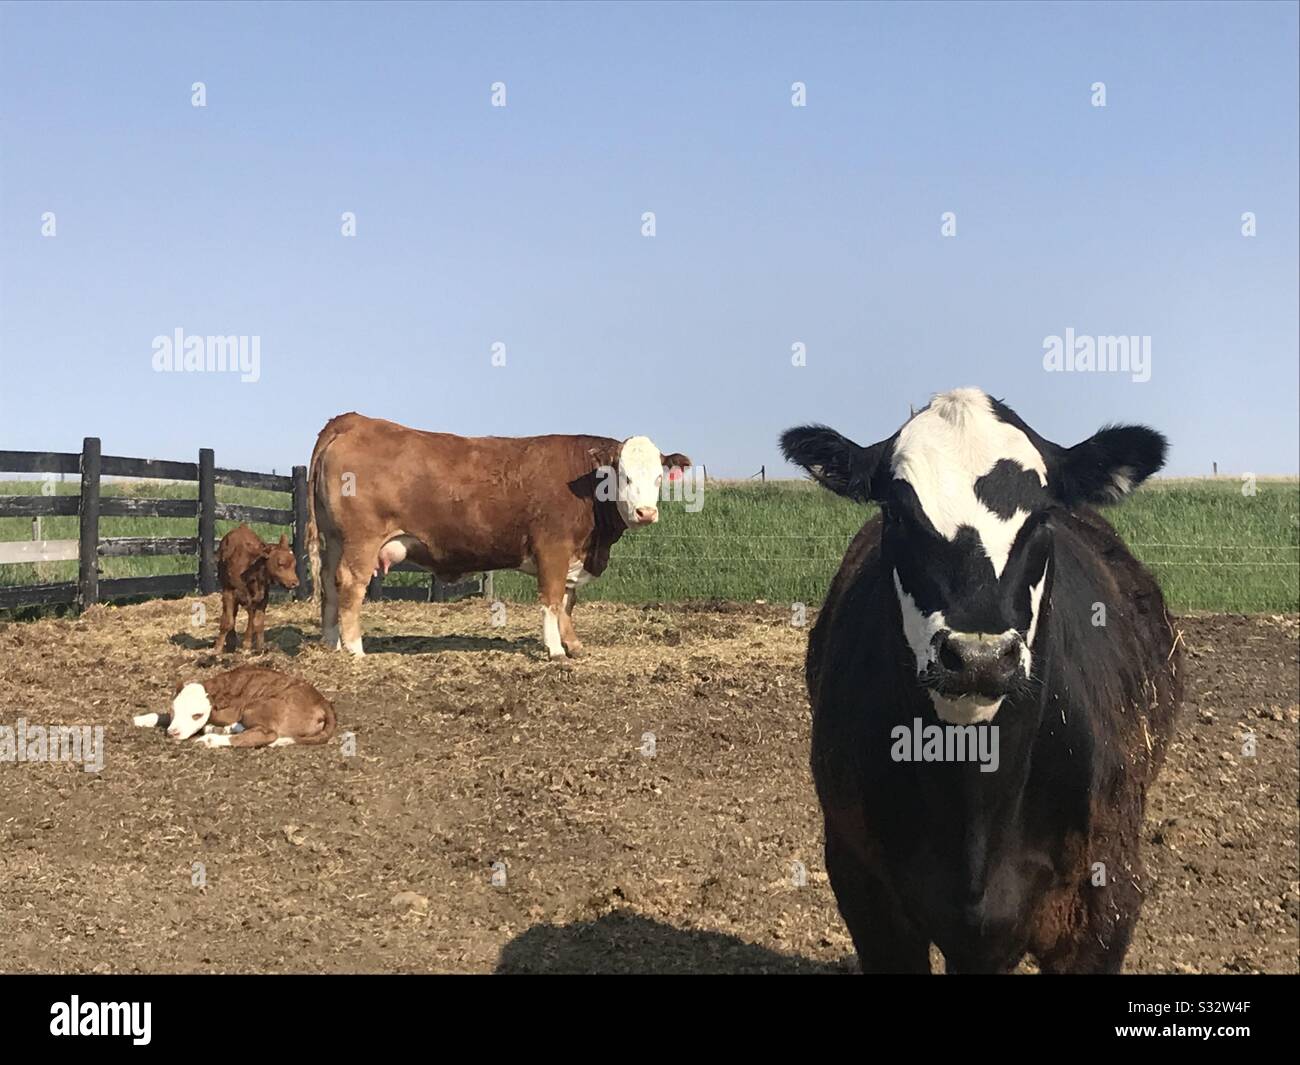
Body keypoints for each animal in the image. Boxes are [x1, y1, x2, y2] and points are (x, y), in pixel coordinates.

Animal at [132, 665, 336, 749]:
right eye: (174, 711)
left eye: (196, 715)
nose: (172, 733)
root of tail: (323, 702)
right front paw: (141, 718)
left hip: (259, 705)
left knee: (265, 734)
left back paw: (211, 739)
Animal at [215, 524, 299, 653]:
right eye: (280, 563)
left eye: (294, 564)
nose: (295, 583)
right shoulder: (229, 592)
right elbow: (228, 621)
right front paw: (217, 648)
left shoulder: (262, 597)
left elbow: (257, 622)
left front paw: (255, 647)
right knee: (232, 614)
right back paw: (230, 642)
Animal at [306, 413, 691, 658]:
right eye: (623, 476)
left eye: (659, 477)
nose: (646, 513)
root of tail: (355, 420)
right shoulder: (553, 547)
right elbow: (552, 599)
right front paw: (554, 649)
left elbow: (568, 602)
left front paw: (573, 645)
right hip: (361, 541)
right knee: (350, 584)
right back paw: (355, 649)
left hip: (334, 539)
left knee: (328, 582)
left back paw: (331, 643)